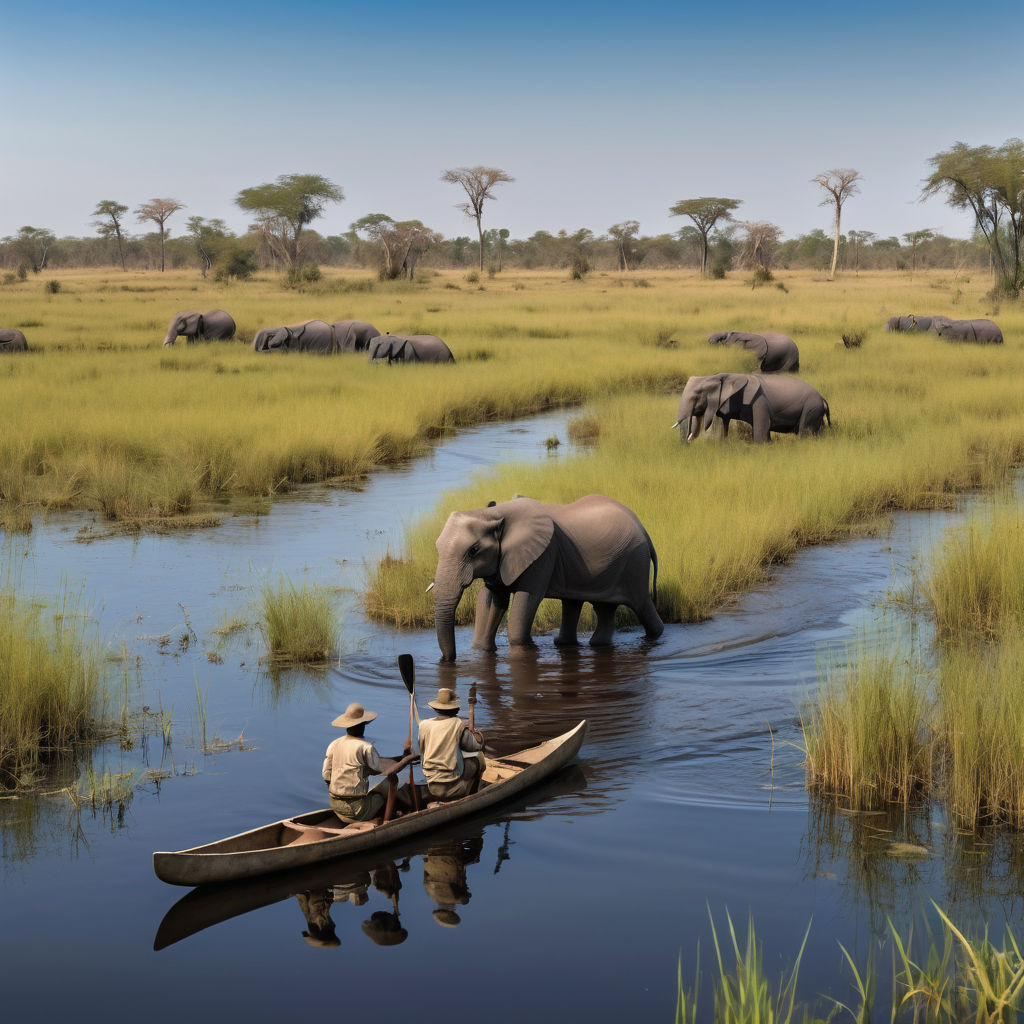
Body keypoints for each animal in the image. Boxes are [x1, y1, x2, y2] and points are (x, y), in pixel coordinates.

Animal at [431, 494, 663, 661]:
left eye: (473, 550)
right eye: (437, 547)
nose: (449, 659)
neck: (494, 513)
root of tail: (644, 530)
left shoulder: (542, 556)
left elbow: (527, 601)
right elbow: (492, 601)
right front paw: (482, 649)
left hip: (634, 562)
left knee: (641, 604)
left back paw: (655, 635)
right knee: (595, 606)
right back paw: (577, 643)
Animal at [674, 372, 830, 443]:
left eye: (696, 397)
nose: (688, 442)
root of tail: (823, 399)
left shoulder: (759, 402)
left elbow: (762, 430)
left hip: (811, 408)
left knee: (805, 432)